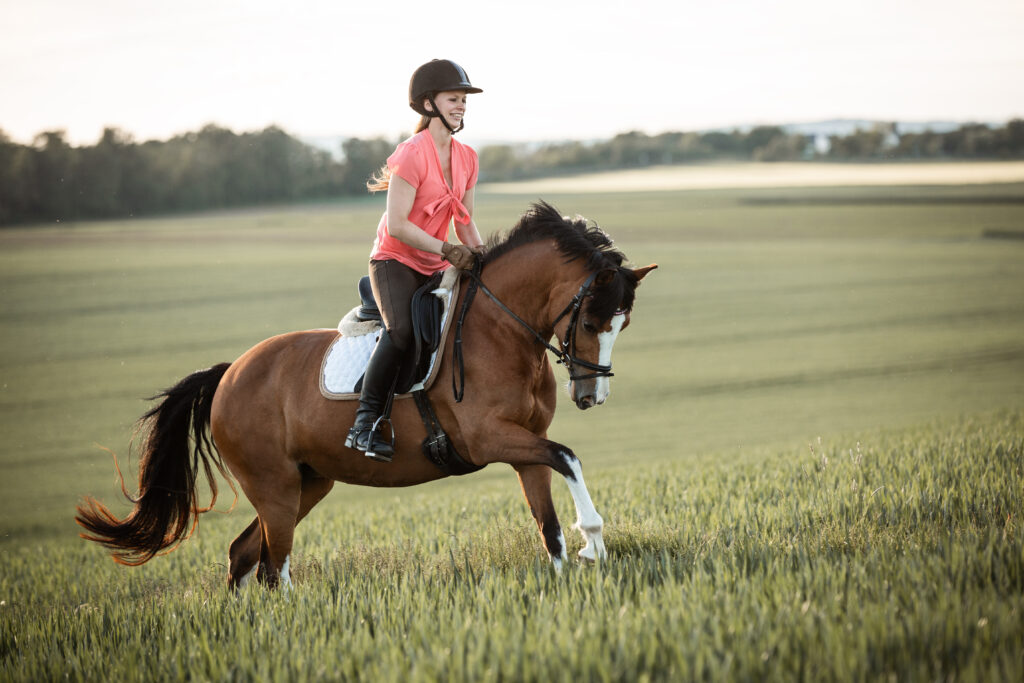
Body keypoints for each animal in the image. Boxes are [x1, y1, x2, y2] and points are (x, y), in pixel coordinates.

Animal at [74, 201, 655, 589]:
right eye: (592, 321)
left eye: (622, 325)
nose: (592, 395)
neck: (500, 329)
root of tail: (228, 374)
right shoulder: (488, 439)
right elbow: (569, 457)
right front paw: (595, 540)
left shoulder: (524, 444)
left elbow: (549, 518)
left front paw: (568, 567)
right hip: (275, 486)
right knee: (274, 564)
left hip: (308, 483)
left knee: (246, 556)